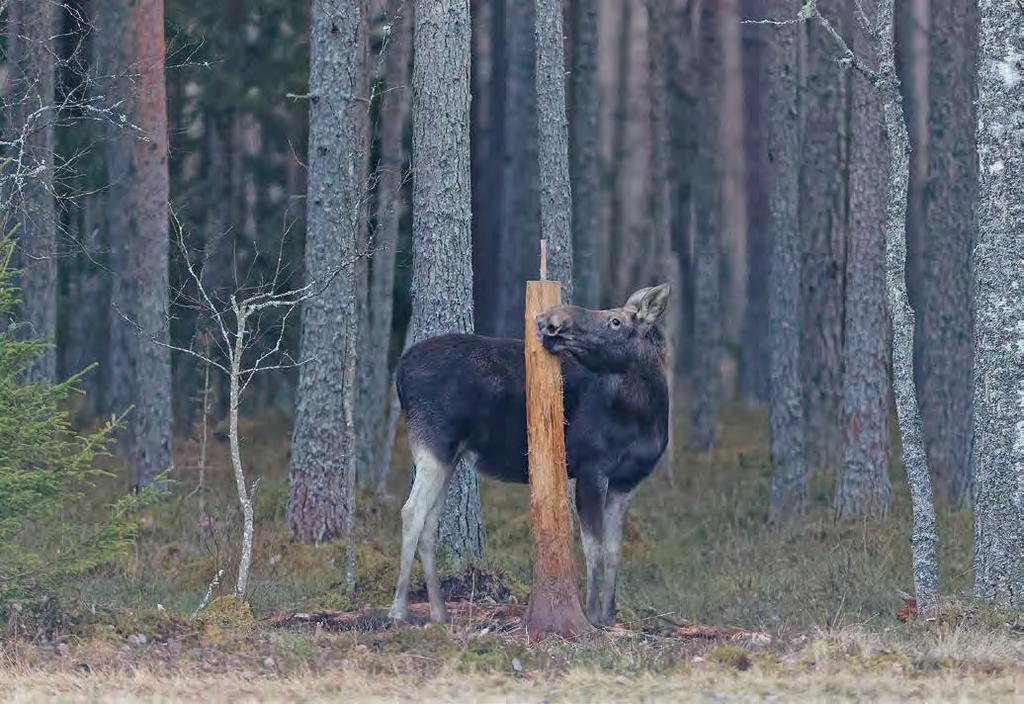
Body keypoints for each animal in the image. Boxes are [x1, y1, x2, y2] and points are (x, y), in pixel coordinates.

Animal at [389, 286, 671, 626]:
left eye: (615, 321)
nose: (552, 322)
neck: (645, 414)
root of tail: (399, 373)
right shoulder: (592, 467)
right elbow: (594, 548)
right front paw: (591, 614)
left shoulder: (625, 482)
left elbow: (615, 551)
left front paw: (609, 616)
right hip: (432, 443)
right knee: (411, 511)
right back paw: (398, 609)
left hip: (449, 455)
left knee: (430, 521)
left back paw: (440, 612)